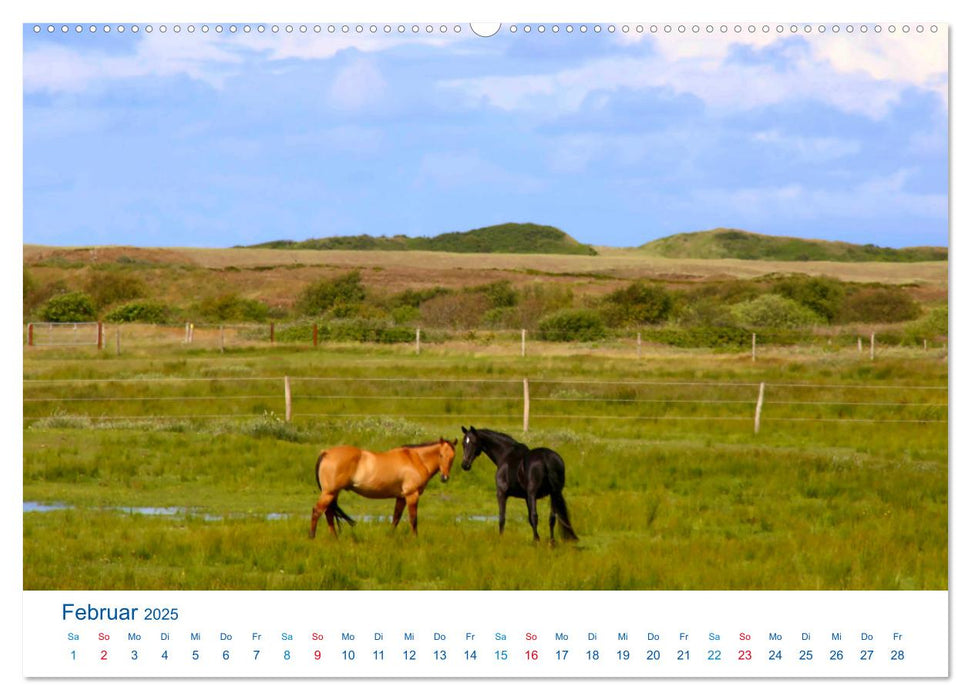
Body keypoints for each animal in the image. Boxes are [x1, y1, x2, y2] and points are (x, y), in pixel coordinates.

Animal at [310, 434, 458, 540]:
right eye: (441, 455)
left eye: (452, 457)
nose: (444, 477)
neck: (415, 459)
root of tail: (326, 453)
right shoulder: (412, 495)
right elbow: (413, 519)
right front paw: (415, 539)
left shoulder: (401, 497)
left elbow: (396, 518)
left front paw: (390, 536)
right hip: (329, 493)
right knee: (317, 511)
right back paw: (312, 536)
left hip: (333, 493)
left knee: (328, 512)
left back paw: (334, 537)